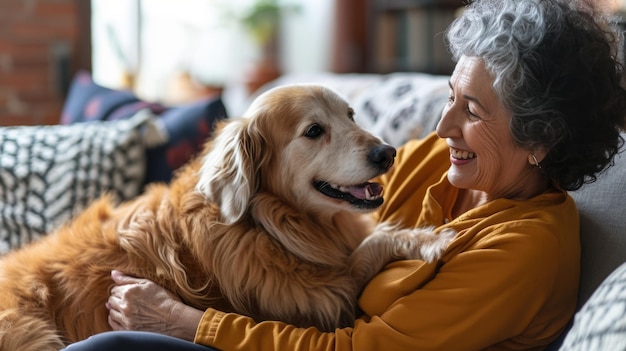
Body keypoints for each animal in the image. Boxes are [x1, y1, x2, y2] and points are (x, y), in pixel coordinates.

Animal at [0, 85, 450, 351]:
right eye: (313, 131)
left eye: (351, 115)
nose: (387, 153)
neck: (267, 223)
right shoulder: (323, 296)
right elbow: (372, 243)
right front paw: (431, 240)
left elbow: (371, 237)